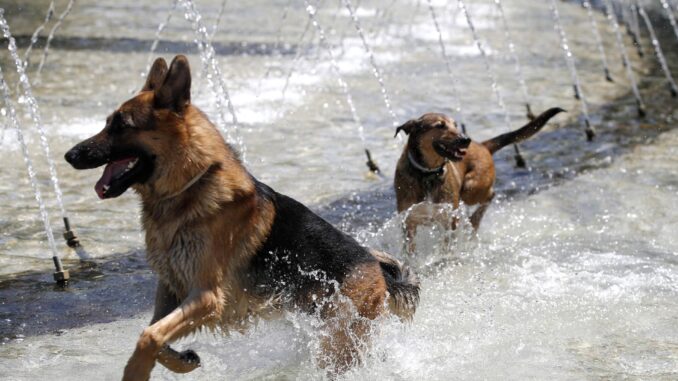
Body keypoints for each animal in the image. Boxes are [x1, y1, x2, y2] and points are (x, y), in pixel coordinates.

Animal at [65, 55, 420, 378]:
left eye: (121, 125)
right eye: (107, 122)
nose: (69, 155)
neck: (189, 187)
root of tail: (381, 273)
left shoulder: (206, 297)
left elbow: (148, 337)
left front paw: (135, 372)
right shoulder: (171, 288)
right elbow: (156, 336)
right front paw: (183, 361)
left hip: (338, 342)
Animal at [396, 107, 564, 252]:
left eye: (455, 125)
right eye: (440, 125)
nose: (465, 139)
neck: (427, 173)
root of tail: (482, 146)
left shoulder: (449, 218)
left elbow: (447, 245)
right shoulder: (409, 221)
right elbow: (410, 249)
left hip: (471, 189)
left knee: (490, 195)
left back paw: (474, 220)